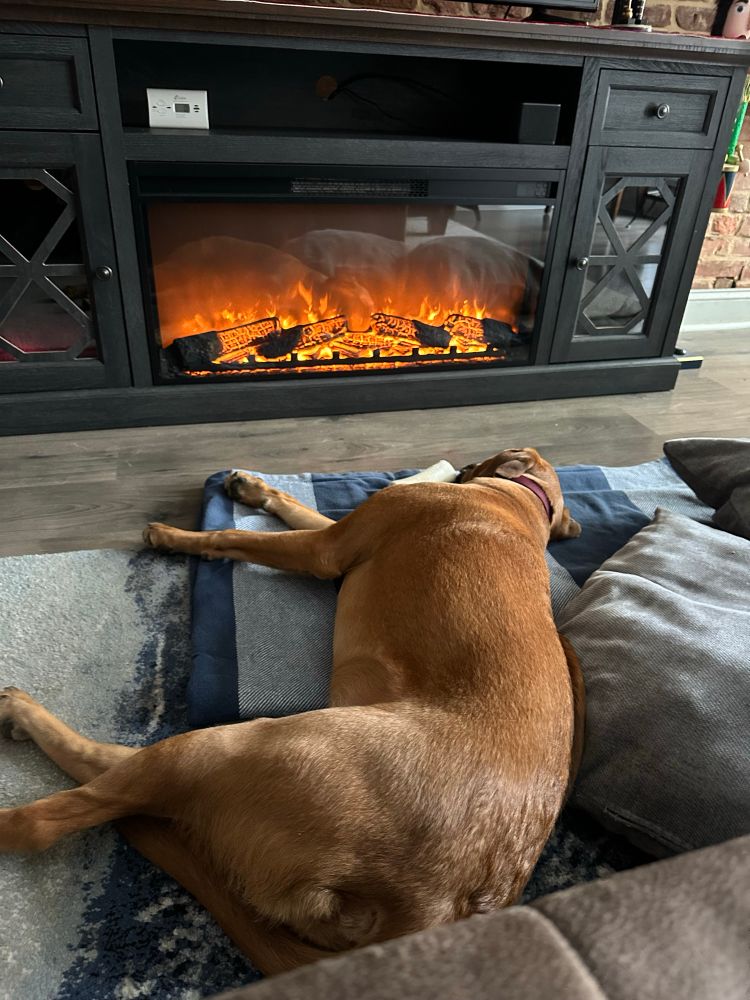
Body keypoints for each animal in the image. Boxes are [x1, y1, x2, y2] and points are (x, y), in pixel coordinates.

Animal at [0, 447, 583, 976]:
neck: (522, 504)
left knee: (58, 812)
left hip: (239, 745)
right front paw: (250, 488)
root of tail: (432, 910)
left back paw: (21, 724)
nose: (462, 468)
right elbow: (292, 508)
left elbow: (233, 539)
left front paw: (174, 536)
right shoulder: (335, 538)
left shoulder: (325, 548)